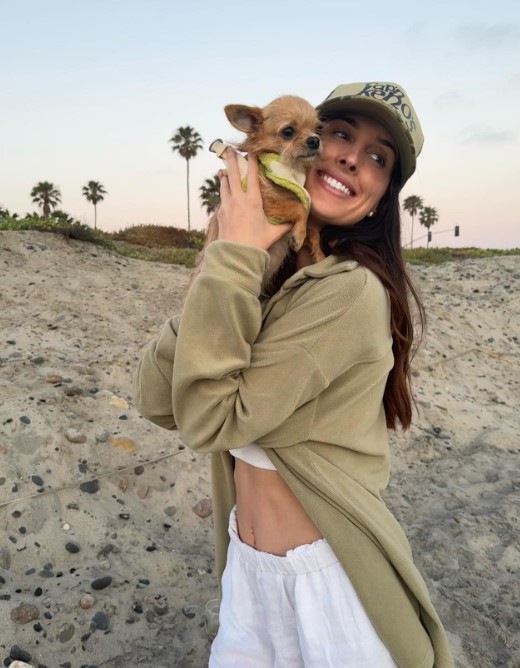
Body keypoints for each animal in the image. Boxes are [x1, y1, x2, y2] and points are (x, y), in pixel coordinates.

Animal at [197, 94, 322, 292]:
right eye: (288, 131)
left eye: (318, 128)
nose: (315, 140)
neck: (291, 170)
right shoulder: (266, 202)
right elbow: (299, 209)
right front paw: (299, 234)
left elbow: (314, 231)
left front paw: (319, 254)